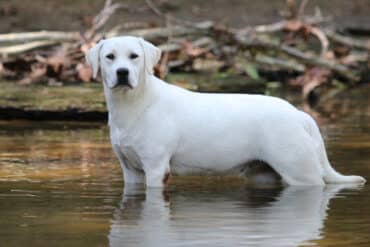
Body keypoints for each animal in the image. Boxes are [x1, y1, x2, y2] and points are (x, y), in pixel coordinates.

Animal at [86, 36, 364, 187]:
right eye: (109, 57)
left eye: (134, 56)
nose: (123, 73)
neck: (134, 104)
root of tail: (299, 114)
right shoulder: (130, 171)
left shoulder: (155, 168)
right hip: (263, 174)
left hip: (301, 172)